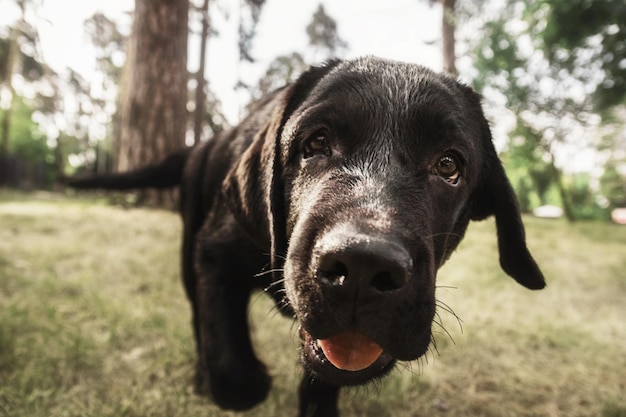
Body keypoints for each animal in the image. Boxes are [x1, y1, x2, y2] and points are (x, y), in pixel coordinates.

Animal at [68, 56, 544, 416]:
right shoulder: (215, 254)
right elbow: (231, 368)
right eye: (315, 143)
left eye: (448, 165)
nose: (362, 266)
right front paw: (244, 380)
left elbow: (320, 382)